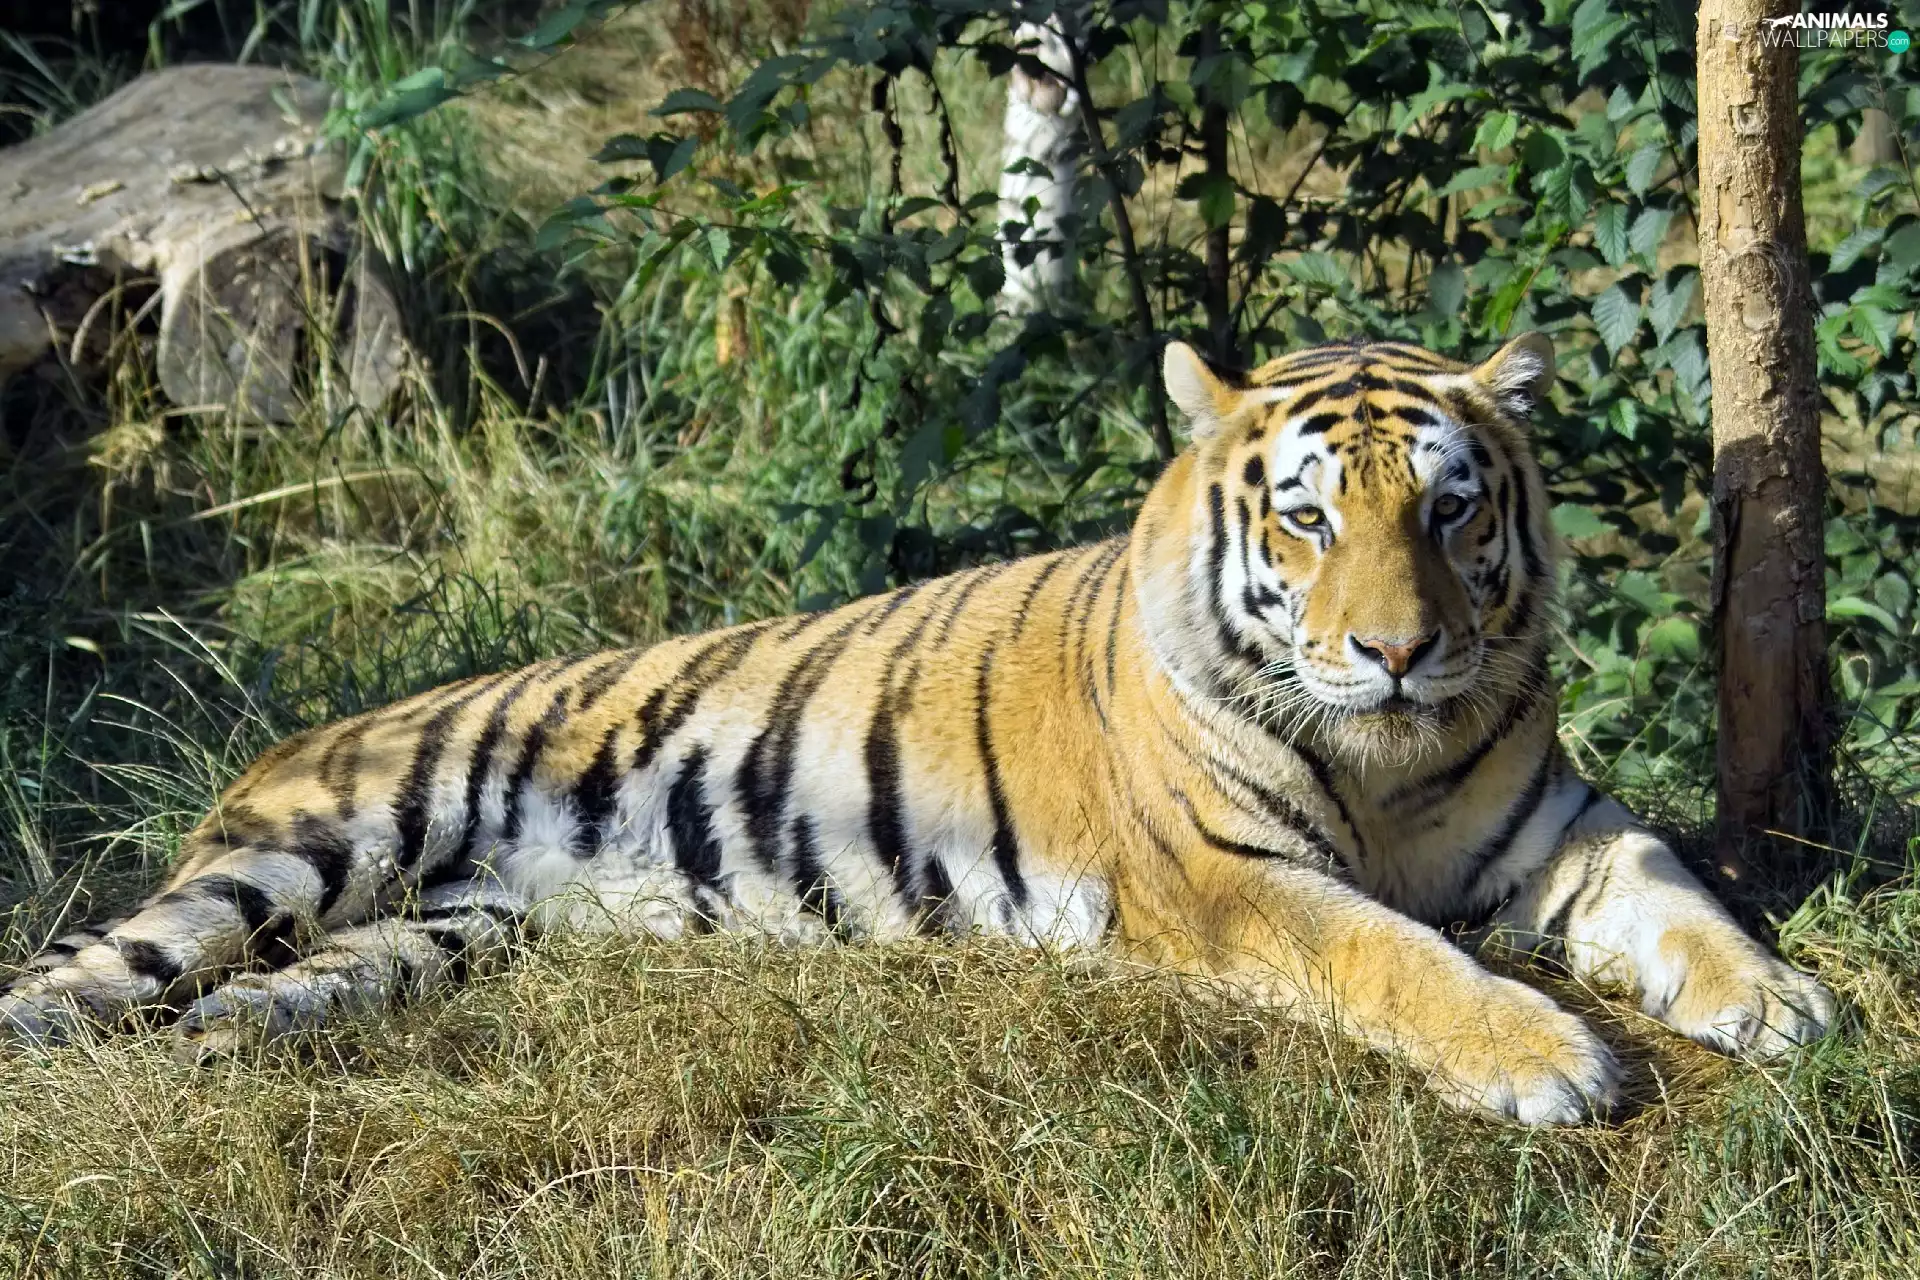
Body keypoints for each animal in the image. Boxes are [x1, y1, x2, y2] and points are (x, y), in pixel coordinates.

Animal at [0, 334, 1834, 1124]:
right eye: (1309, 521)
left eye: (1452, 512)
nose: (1394, 651)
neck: (1386, 763)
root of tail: (289, 737)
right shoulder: (1225, 880)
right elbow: (1395, 955)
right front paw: (1554, 1061)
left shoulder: (1558, 827)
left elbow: (1674, 889)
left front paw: (1777, 1001)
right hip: (299, 857)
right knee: (84, 980)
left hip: (425, 940)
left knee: (242, 1013)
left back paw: (227, 1058)